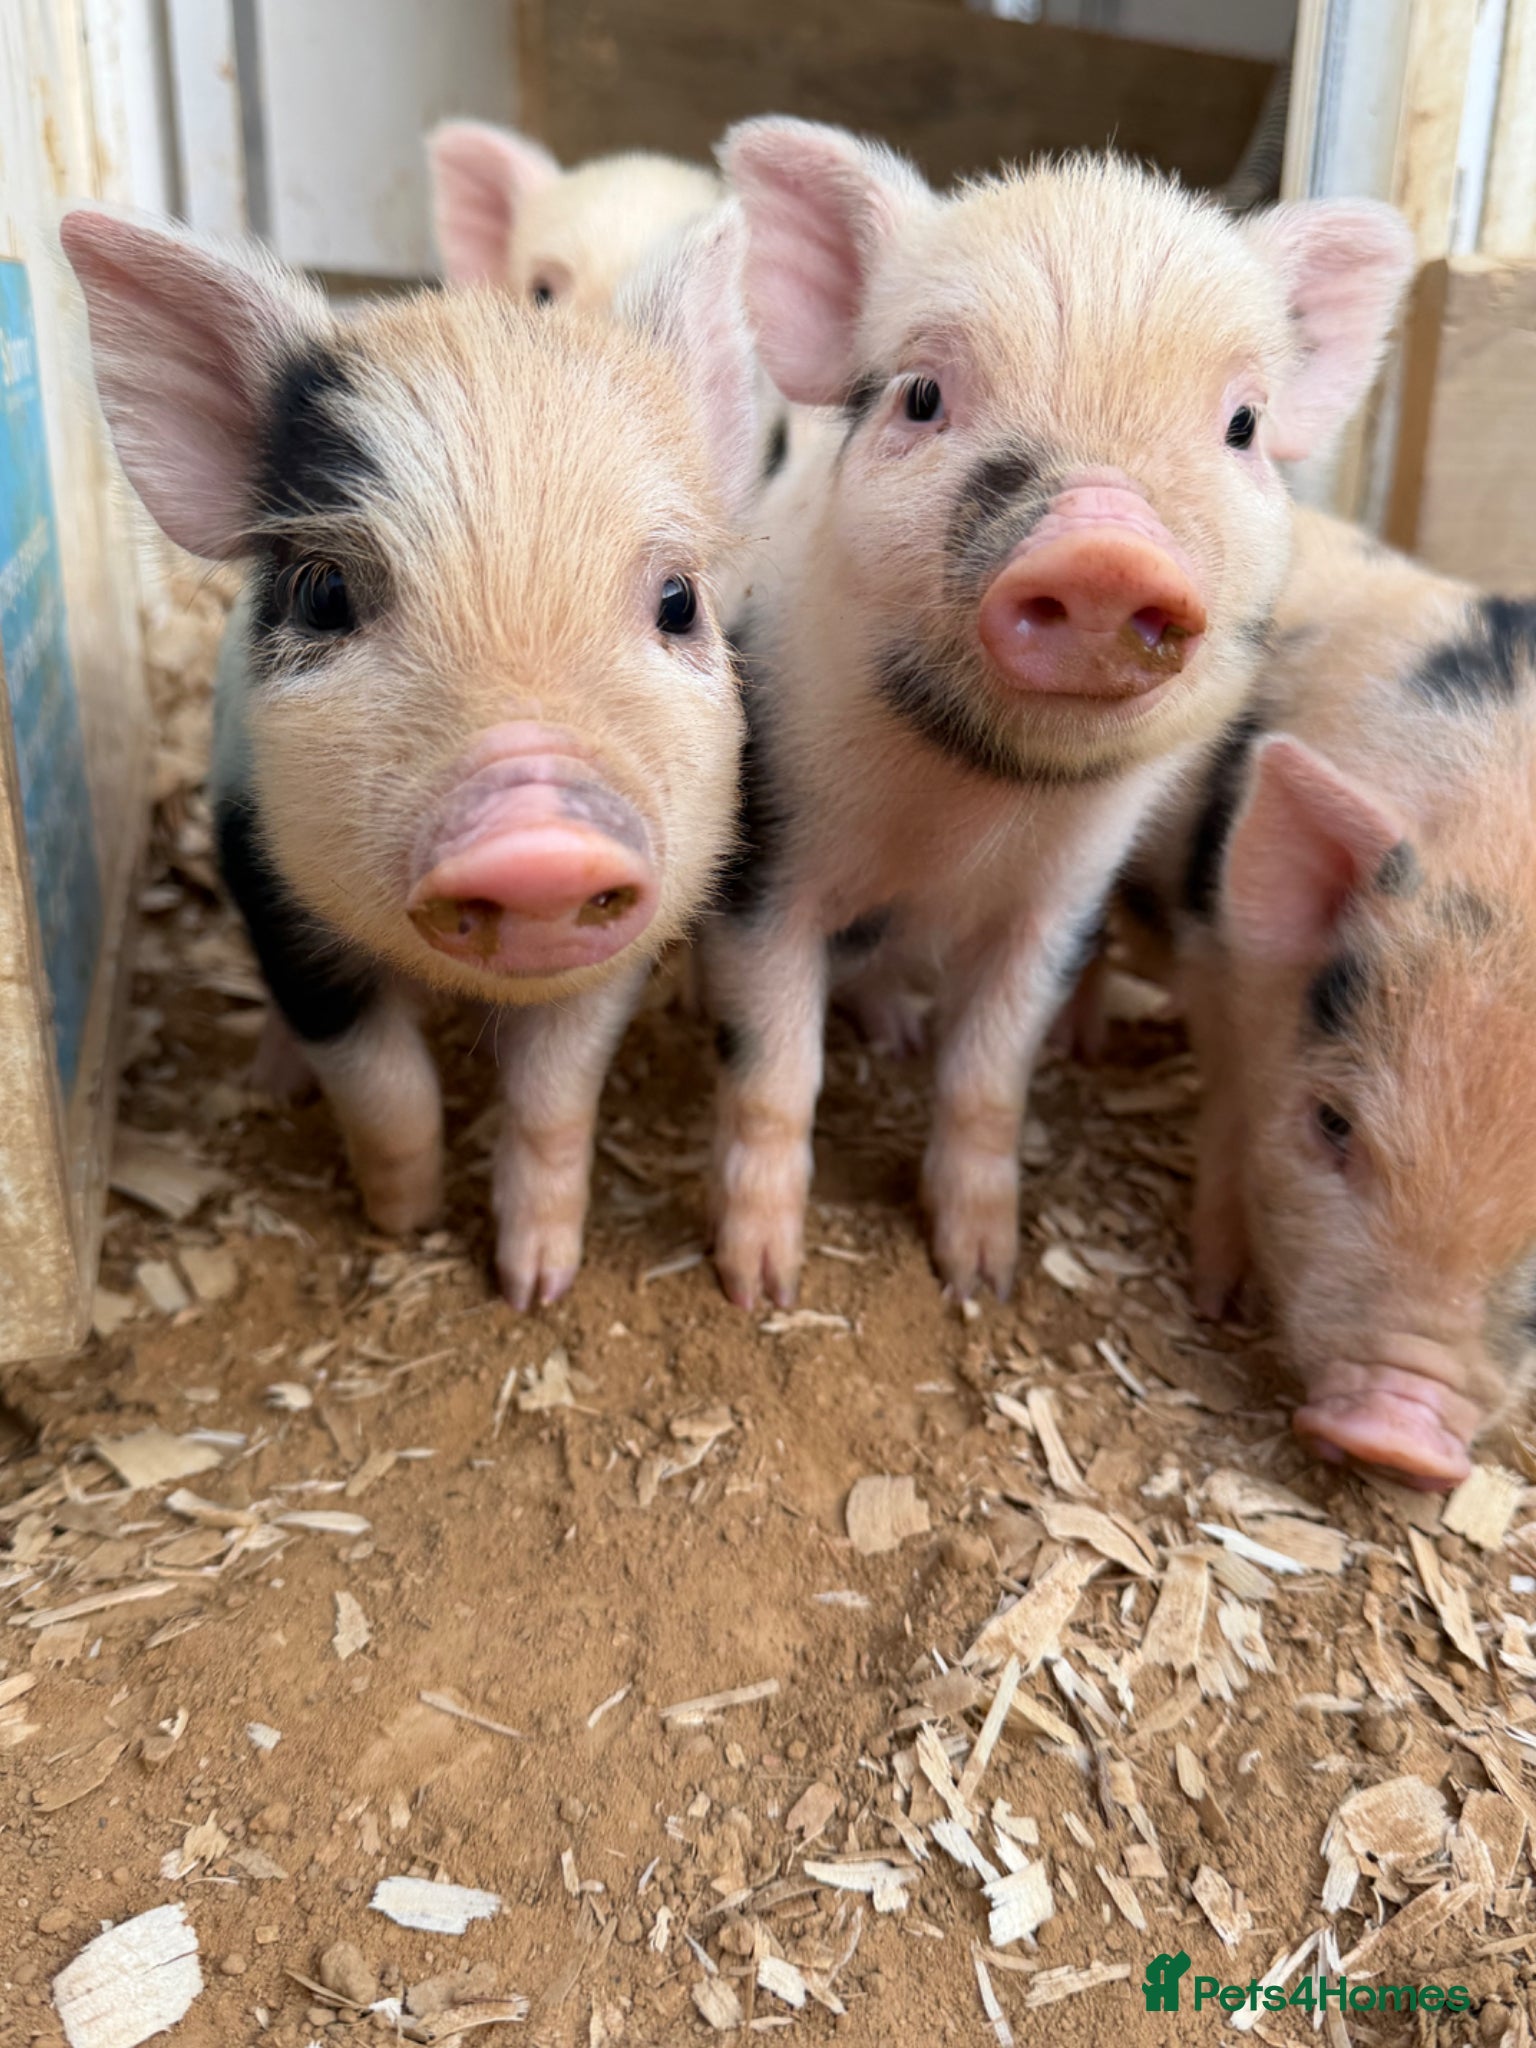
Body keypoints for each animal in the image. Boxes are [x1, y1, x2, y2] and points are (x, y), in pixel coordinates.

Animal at [61, 204, 757, 1308]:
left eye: (680, 599)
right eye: (324, 593)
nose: (541, 839)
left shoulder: (619, 945)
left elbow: (554, 1099)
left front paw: (535, 1285)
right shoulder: (269, 883)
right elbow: (386, 1087)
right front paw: (403, 1222)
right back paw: (272, 1079)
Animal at [704, 117, 1413, 1312]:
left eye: (1243, 423)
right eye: (922, 396)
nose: (1102, 547)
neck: (973, 802)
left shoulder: (1066, 892)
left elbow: (992, 1077)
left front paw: (980, 1276)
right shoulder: (769, 859)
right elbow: (772, 1071)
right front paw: (759, 1288)